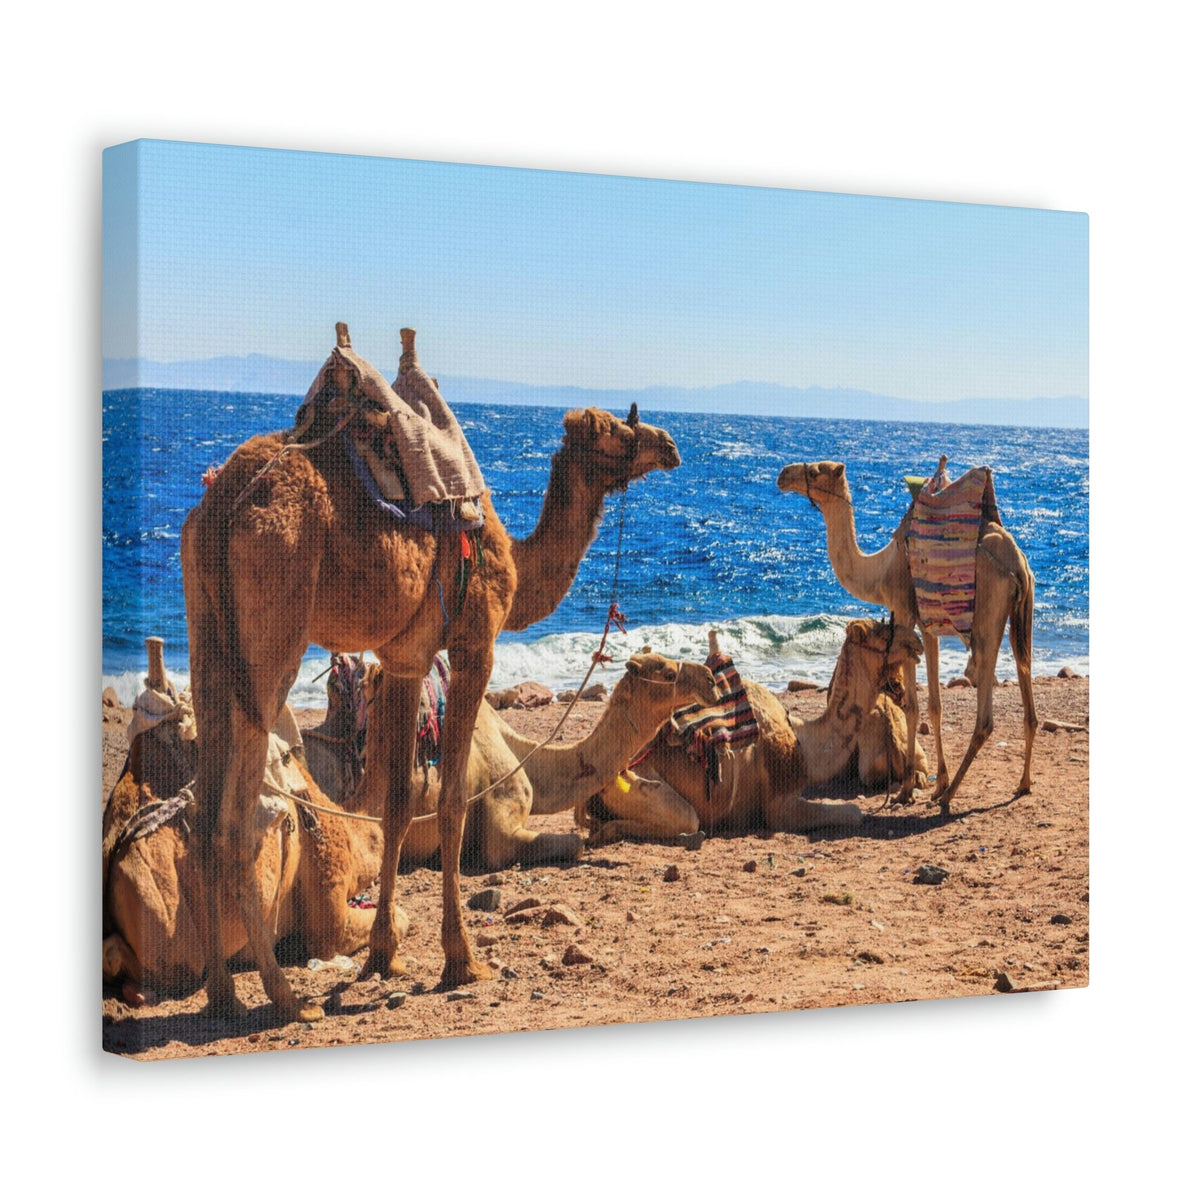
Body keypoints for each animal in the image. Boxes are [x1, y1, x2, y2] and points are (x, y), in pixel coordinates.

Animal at [583, 620, 927, 842]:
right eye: (883, 631)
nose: (917, 641)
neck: (806, 744)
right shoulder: (778, 806)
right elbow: (854, 811)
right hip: (636, 781)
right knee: (685, 819)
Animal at [777, 460, 1036, 812]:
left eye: (817, 470)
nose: (783, 475)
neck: (878, 571)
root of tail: (1018, 562)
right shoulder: (929, 625)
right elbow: (935, 706)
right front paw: (937, 784)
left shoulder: (904, 612)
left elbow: (912, 705)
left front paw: (908, 791)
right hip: (1022, 614)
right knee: (1027, 685)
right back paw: (1022, 784)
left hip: (987, 613)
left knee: (985, 712)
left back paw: (950, 798)